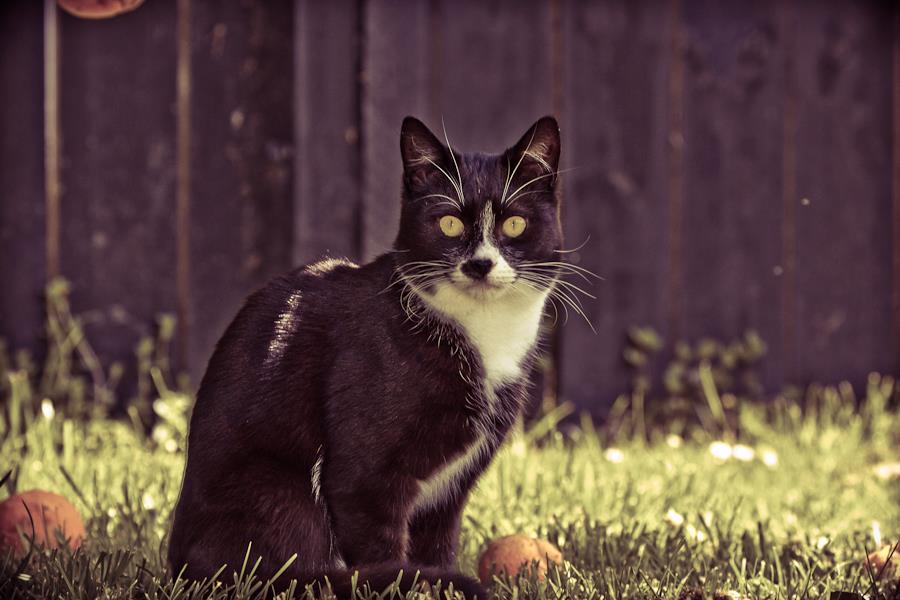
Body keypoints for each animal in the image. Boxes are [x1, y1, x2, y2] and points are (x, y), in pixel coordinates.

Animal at [166, 115, 568, 596]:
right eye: (449, 223)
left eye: (514, 225)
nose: (480, 264)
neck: (482, 333)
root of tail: (183, 568)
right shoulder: (363, 475)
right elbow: (381, 550)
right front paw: (406, 584)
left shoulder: (450, 493)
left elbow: (437, 546)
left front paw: (439, 583)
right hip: (274, 488)